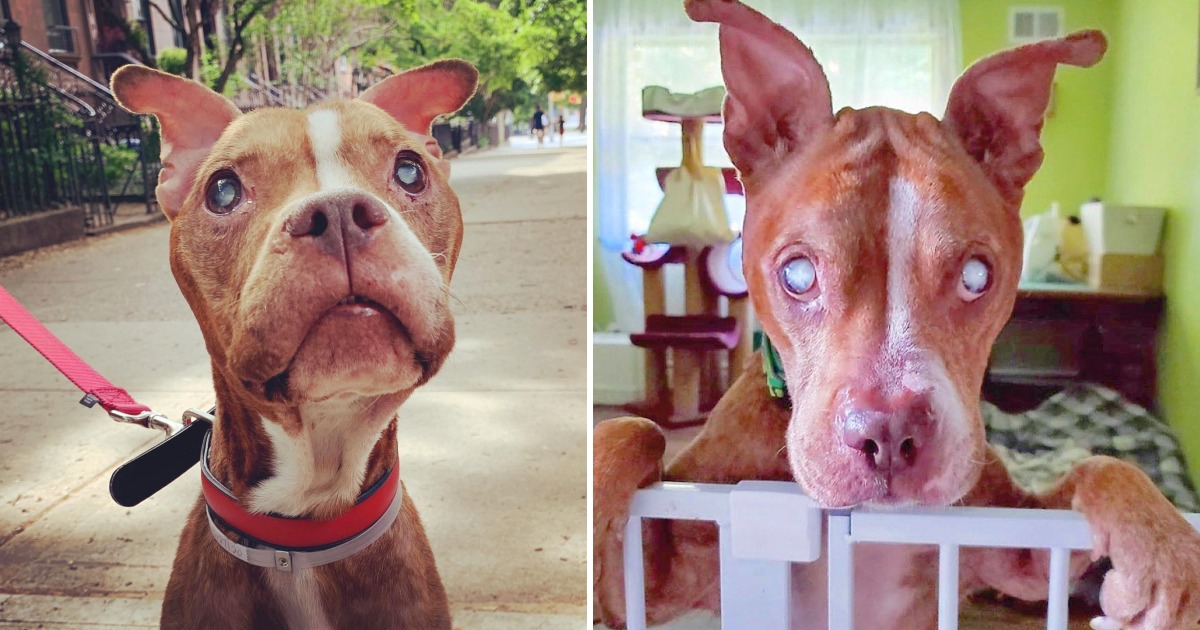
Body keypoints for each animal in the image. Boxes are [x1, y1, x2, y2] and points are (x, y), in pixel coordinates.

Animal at [592, 1, 1200, 628]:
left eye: (976, 275)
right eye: (798, 275)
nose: (888, 430)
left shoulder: (1019, 556)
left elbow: (1099, 467)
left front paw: (1161, 545)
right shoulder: (655, 581)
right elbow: (634, 430)